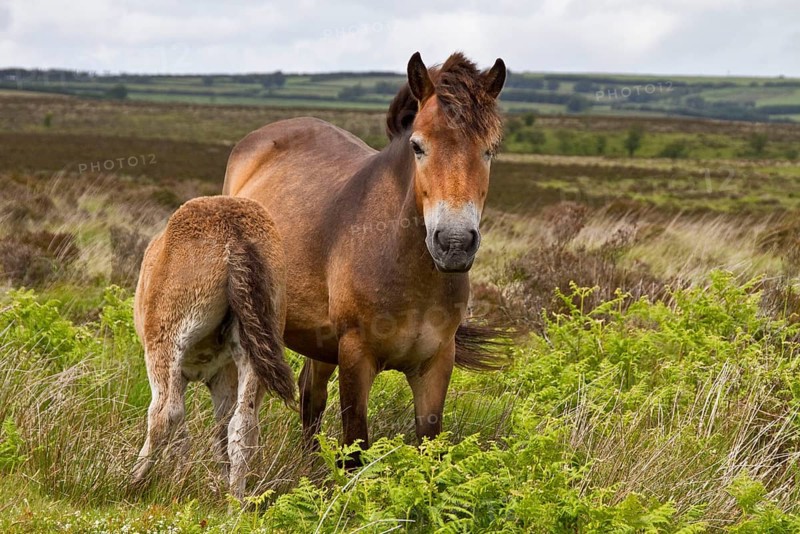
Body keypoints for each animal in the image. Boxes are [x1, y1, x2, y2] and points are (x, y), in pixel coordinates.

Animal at [131, 195, 295, 498]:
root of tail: (234, 233)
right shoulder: (223, 376)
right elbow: (220, 430)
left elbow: (177, 419)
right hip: (252, 351)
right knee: (243, 425)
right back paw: (235, 502)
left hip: (166, 343)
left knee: (163, 413)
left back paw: (130, 479)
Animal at [223, 51, 506, 465]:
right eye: (417, 146)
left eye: (489, 150)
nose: (454, 243)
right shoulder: (356, 356)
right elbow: (356, 445)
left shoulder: (437, 363)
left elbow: (429, 448)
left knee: (311, 397)